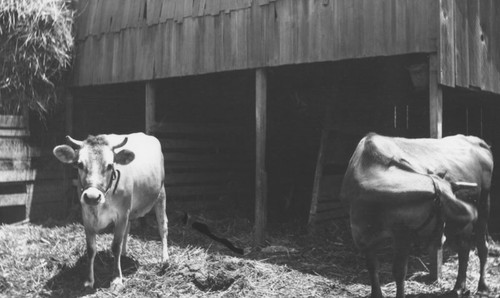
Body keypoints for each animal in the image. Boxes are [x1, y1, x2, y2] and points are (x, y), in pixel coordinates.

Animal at [54, 133, 169, 288]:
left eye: (109, 165)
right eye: (80, 164)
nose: (92, 197)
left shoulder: (122, 214)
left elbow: (115, 246)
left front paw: (116, 278)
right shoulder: (86, 216)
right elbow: (91, 249)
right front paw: (89, 280)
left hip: (161, 194)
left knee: (163, 228)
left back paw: (165, 260)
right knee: (128, 228)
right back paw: (125, 253)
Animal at [340, 133, 492, 298]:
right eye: (447, 201)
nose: (472, 212)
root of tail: (473, 139)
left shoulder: (404, 232)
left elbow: (399, 271)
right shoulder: (362, 234)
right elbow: (372, 267)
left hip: (484, 205)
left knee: (481, 247)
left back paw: (481, 286)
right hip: (461, 226)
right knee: (464, 248)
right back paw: (459, 288)